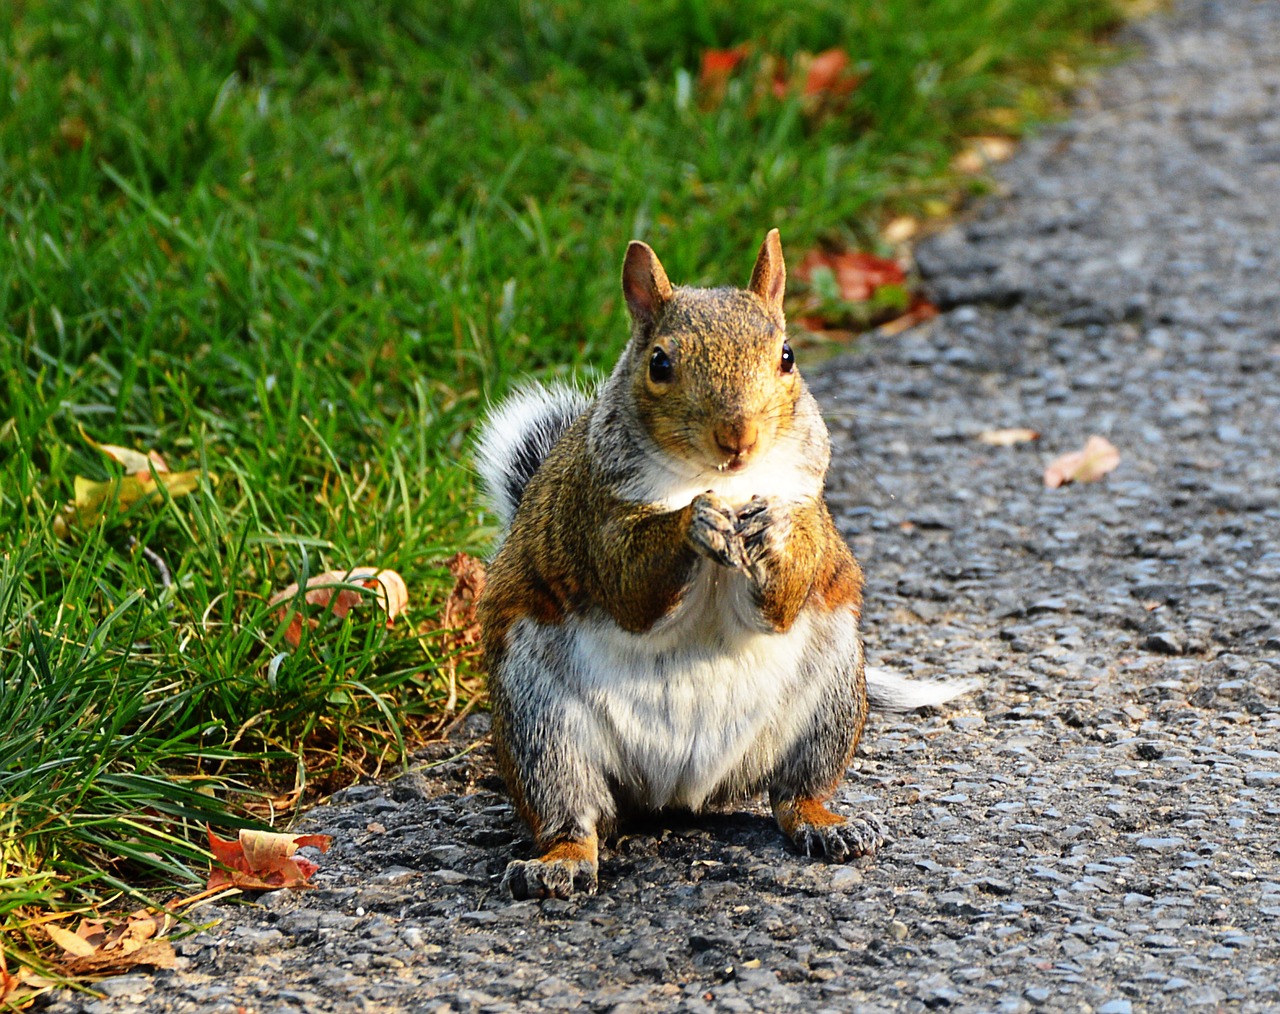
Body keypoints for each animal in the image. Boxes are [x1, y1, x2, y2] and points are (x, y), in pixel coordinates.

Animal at [476, 231, 972, 901]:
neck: (722, 481)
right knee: (570, 813)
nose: (738, 438)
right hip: (538, 723)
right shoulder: (594, 519)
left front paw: (775, 531)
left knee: (793, 794)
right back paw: (558, 861)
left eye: (787, 355)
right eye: (659, 364)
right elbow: (628, 584)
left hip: (832, 696)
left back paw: (828, 824)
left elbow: (782, 597)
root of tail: (677, 793)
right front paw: (695, 519)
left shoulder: (810, 505)